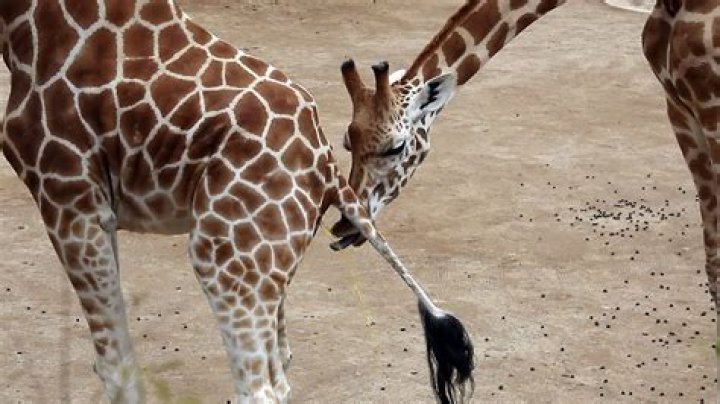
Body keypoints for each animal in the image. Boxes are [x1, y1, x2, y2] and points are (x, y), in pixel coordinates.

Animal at [0, 1, 474, 403]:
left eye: (396, 147)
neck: (30, 27)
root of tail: (327, 167)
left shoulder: (68, 194)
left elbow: (117, 370)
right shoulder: (99, 207)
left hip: (224, 256)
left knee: (258, 388)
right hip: (268, 261)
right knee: (280, 372)